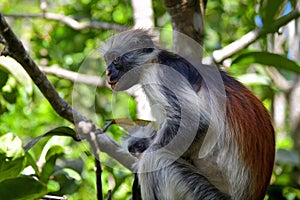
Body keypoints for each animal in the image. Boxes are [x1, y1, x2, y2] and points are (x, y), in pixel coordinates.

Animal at [102, 29, 276, 200]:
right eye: (107, 61)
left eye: (116, 59)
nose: (108, 72)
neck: (155, 61)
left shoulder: (160, 74)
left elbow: (195, 123)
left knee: (155, 156)